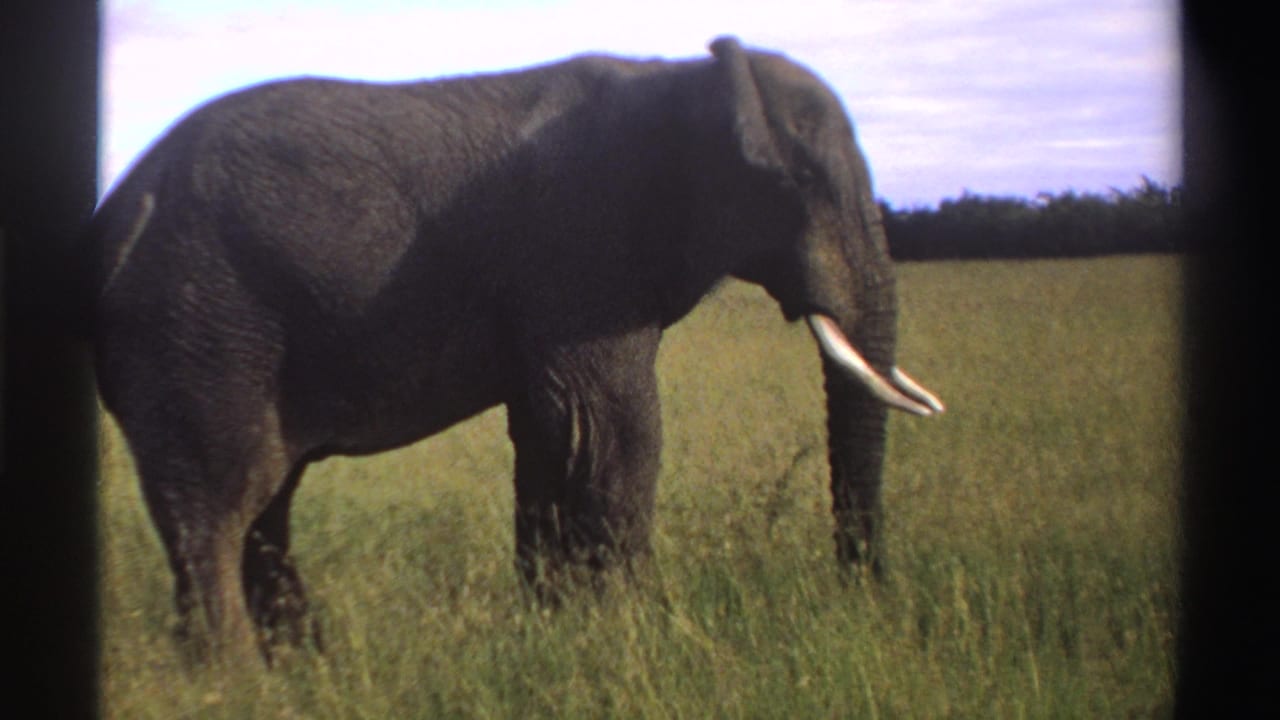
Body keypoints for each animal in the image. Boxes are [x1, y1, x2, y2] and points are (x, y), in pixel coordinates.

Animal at [86, 36, 943, 662]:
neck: (687, 77)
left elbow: (549, 437)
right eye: (800, 182)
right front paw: (637, 639)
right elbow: (614, 433)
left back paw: (302, 668)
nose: (863, 596)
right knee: (219, 507)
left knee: (264, 508)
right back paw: (236, 681)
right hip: (197, 328)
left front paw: (553, 631)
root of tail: (117, 209)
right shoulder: (581, 254)